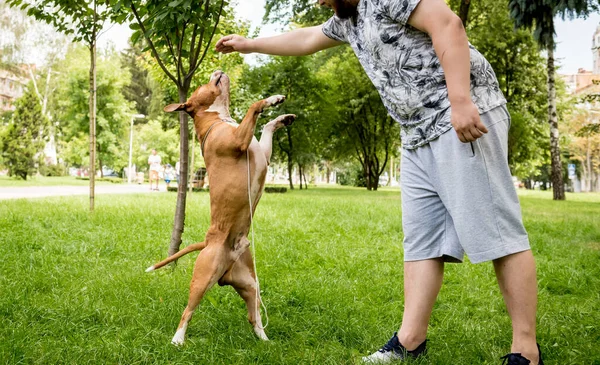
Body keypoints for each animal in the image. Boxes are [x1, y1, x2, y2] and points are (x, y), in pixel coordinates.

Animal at [145, 70, 296, 344]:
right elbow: (253, 106)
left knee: (253, 316)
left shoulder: (263, 153)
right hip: (203, 277)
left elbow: (266, 127)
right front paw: (271, 100)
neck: (220, 118)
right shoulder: (238, 141)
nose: (217, 70)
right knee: (187, 311)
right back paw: (177, 339)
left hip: (250, 284)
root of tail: (208, 241)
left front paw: (282, 117)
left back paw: (265, 340)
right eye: (203, 83)